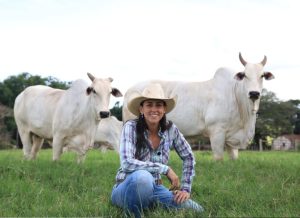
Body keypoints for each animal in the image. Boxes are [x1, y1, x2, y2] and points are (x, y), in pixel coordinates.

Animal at [122, 53, 274, 160]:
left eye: (262, 76)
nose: (254, 93)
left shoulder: (231, 139)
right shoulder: (217, 132)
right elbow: (218, 158)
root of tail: (129, 90)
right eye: (245, 75)